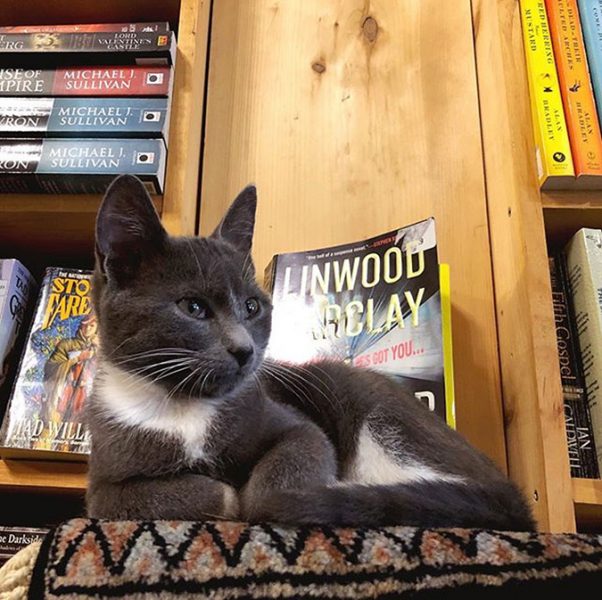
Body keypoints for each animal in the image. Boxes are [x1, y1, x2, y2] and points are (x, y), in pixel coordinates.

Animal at [85, 176, 536, 532]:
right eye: (193, 307)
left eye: (252, 307)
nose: (244, 349)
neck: (183, 408)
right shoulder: (103, 477)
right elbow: (127, 498)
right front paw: (222, 493)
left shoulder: (290, 420)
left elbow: (297, 453)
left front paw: (265, 497)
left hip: (369, 401)